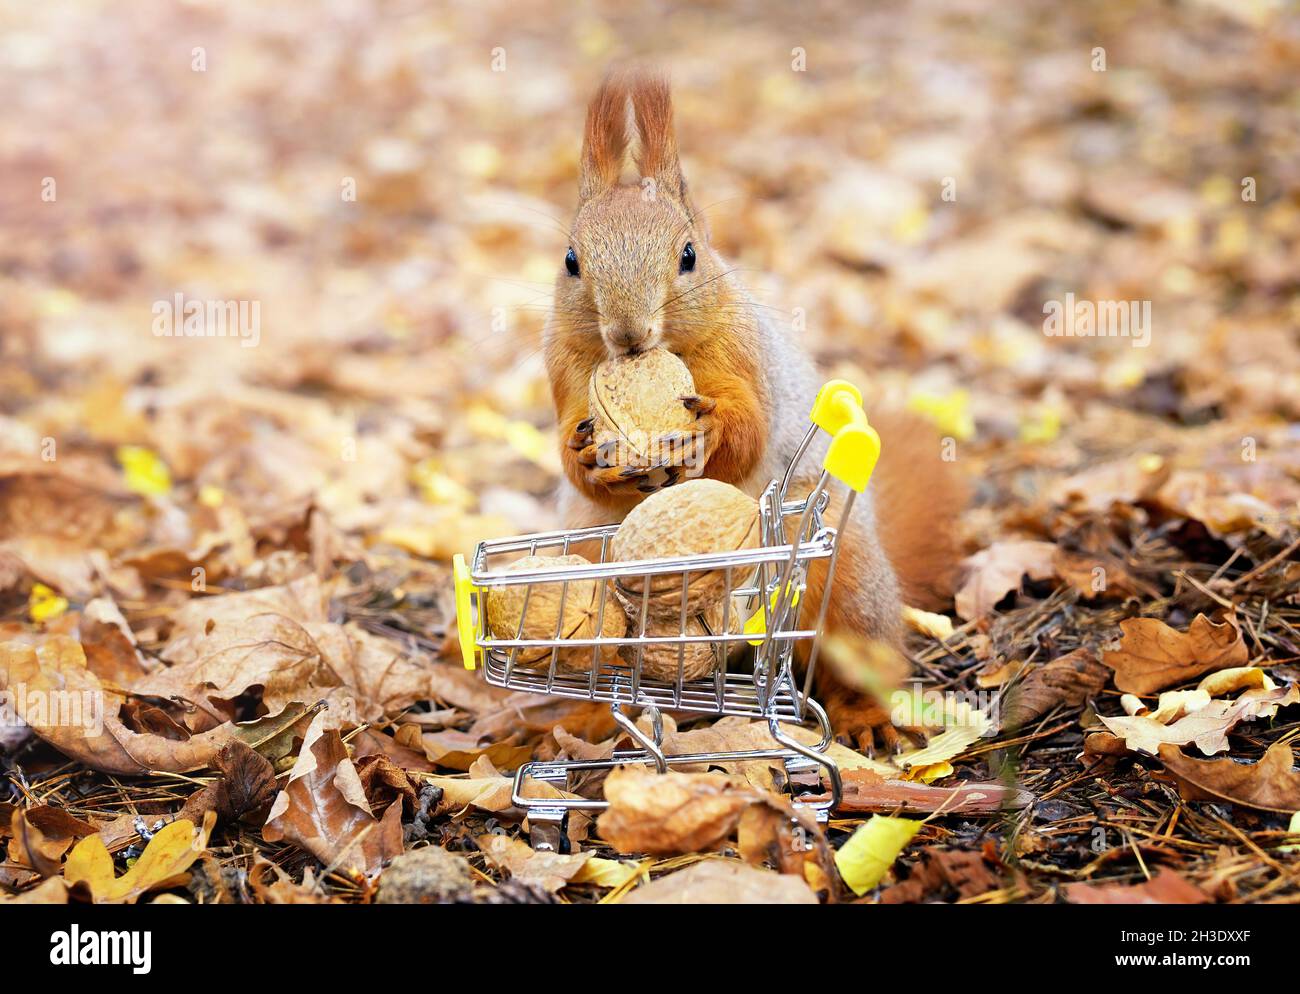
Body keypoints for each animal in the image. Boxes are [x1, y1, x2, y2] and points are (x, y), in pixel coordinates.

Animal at [542, 70, 966, 754]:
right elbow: (572, 453)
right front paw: (584, 453)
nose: (629, 335)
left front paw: (709, 430)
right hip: (585, 576)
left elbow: (748, 435)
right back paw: (591, 719)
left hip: (846, 584)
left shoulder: (743, 354)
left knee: (857, 659)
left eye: (689, 254)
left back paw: (864, 720)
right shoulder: (563, 369)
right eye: (571, 260)